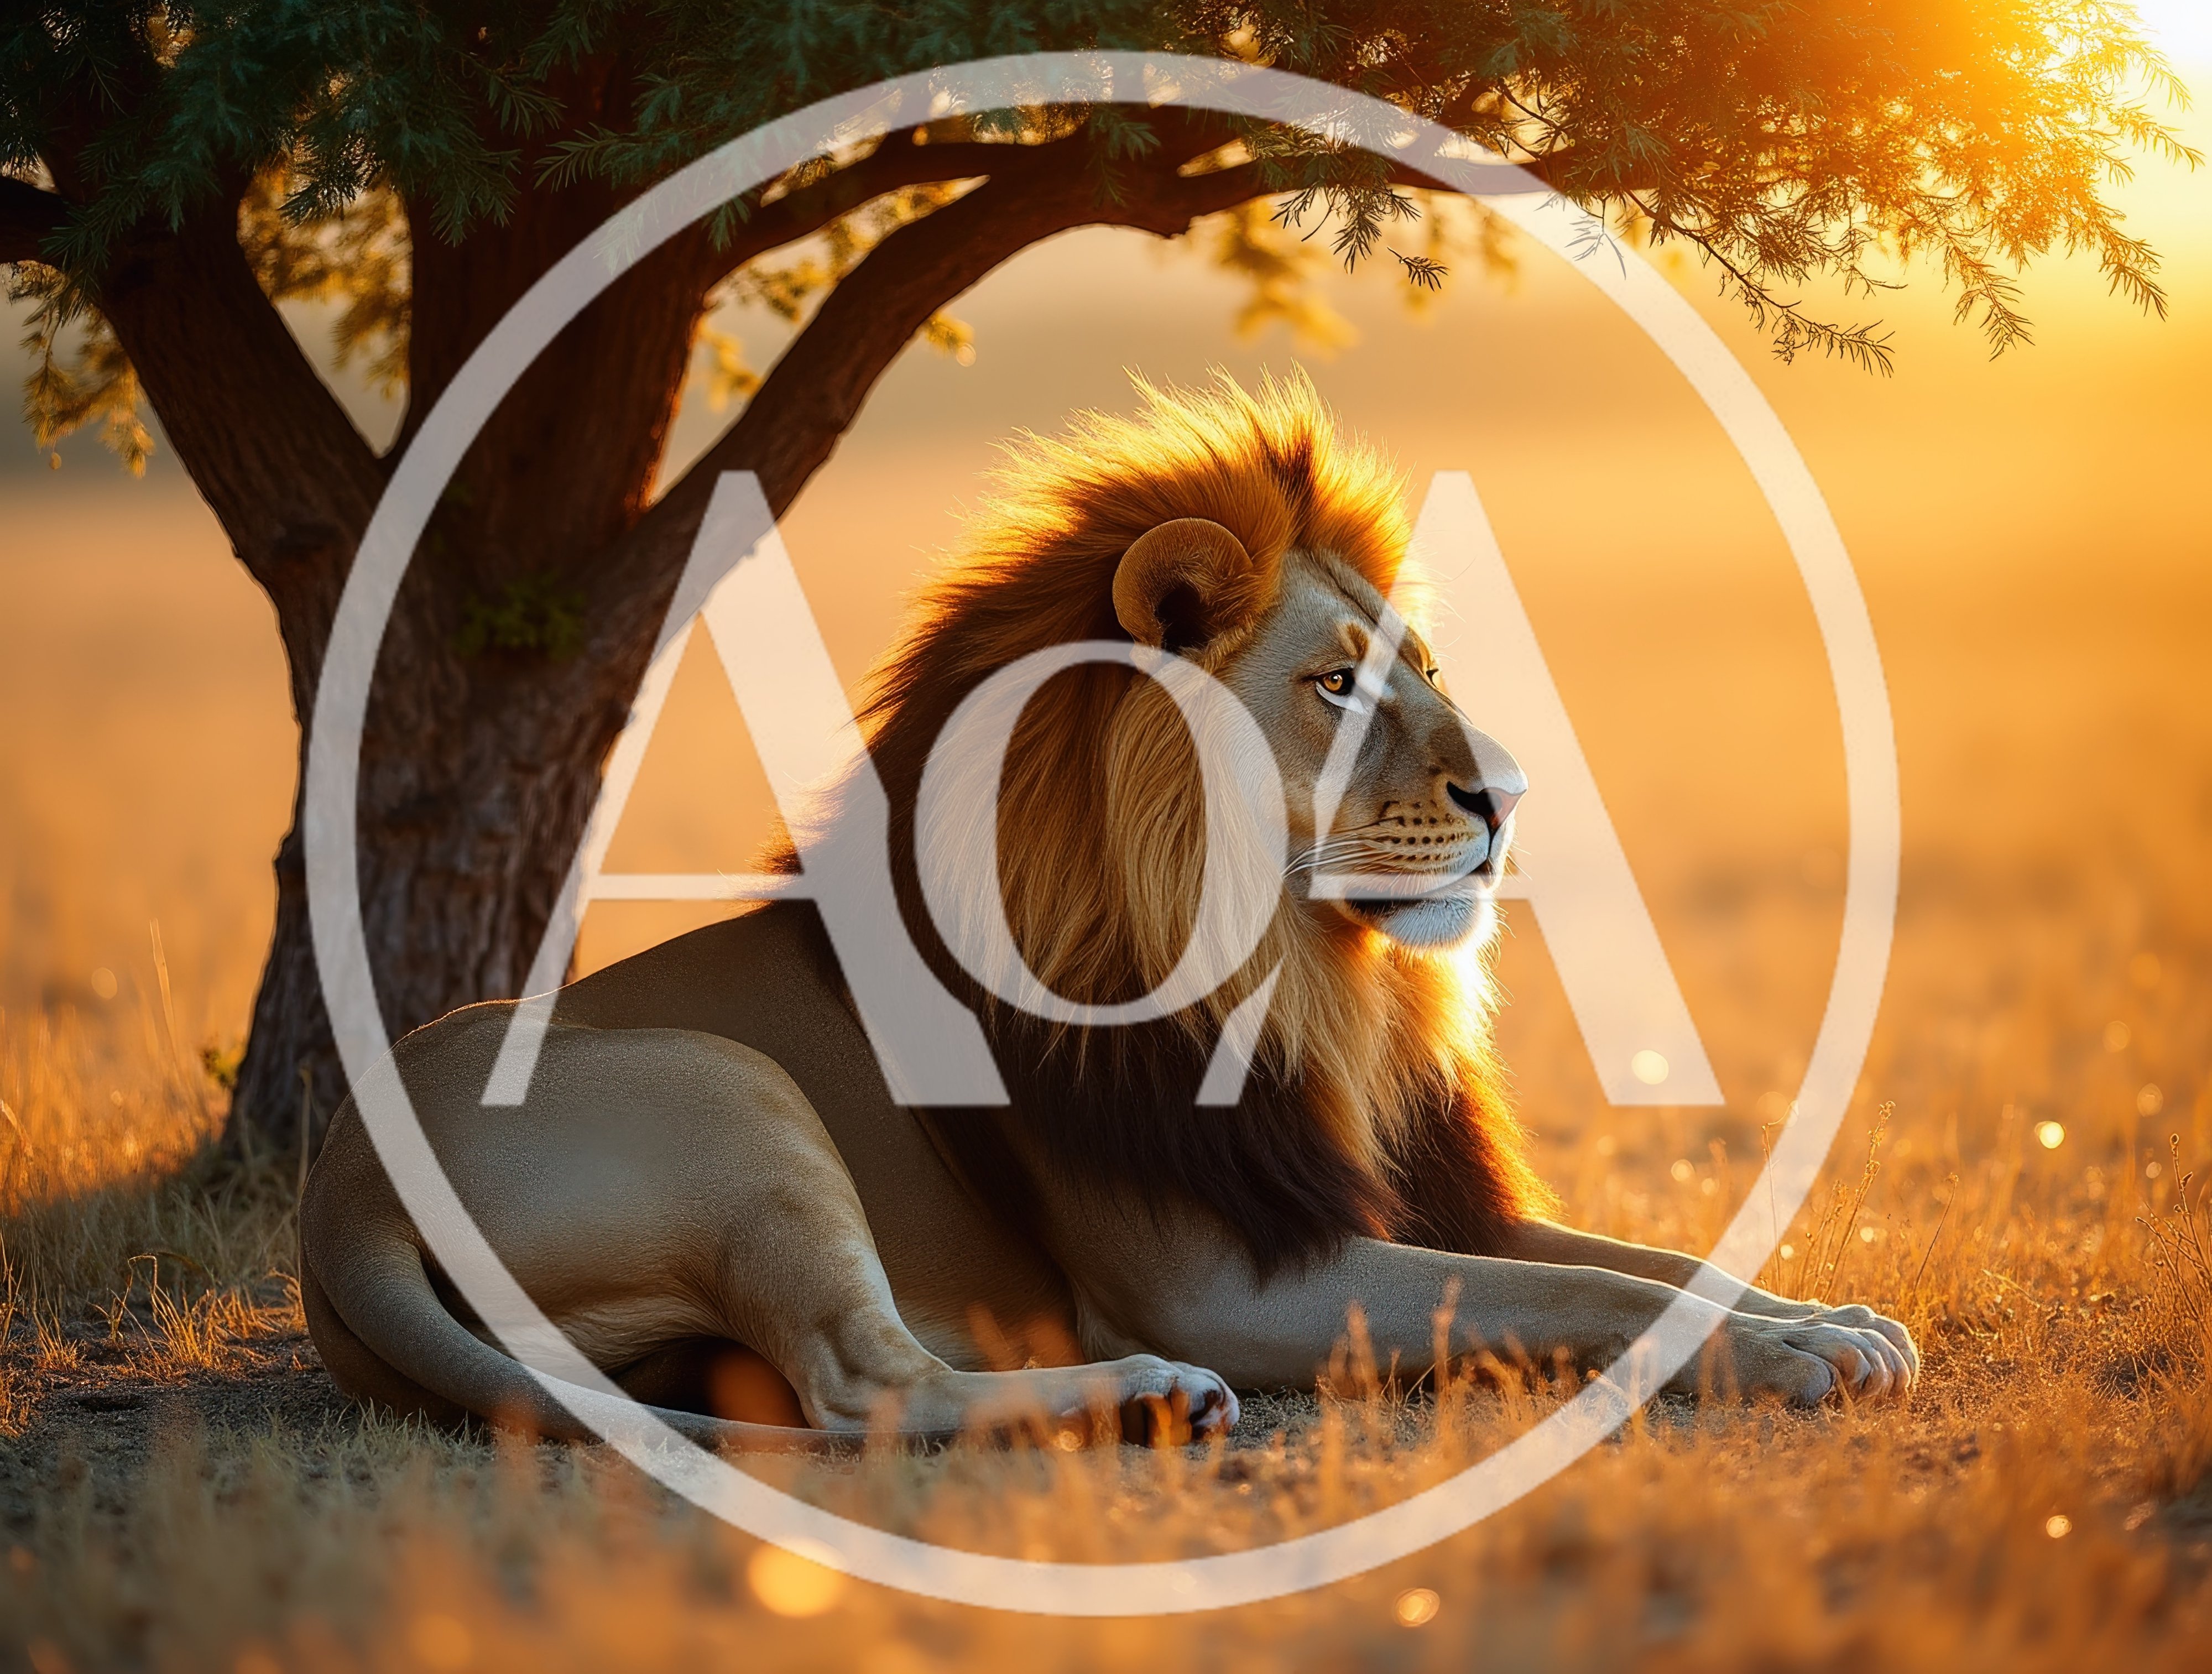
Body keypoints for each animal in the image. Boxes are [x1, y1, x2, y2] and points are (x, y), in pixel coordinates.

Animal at [300, 372, 1917, 1447]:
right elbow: (1586, 1299)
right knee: (866, 1387)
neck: (1303, 978)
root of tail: (345, 1198)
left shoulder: (1381, 1192)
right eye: (1336, 684)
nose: (1508, 797)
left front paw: (1831, 1320)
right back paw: (1146, 1401)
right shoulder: (1227, 1281)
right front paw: (1793, 1359)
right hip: (730, 1096)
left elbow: (1651, 1261)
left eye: (1427, 670)